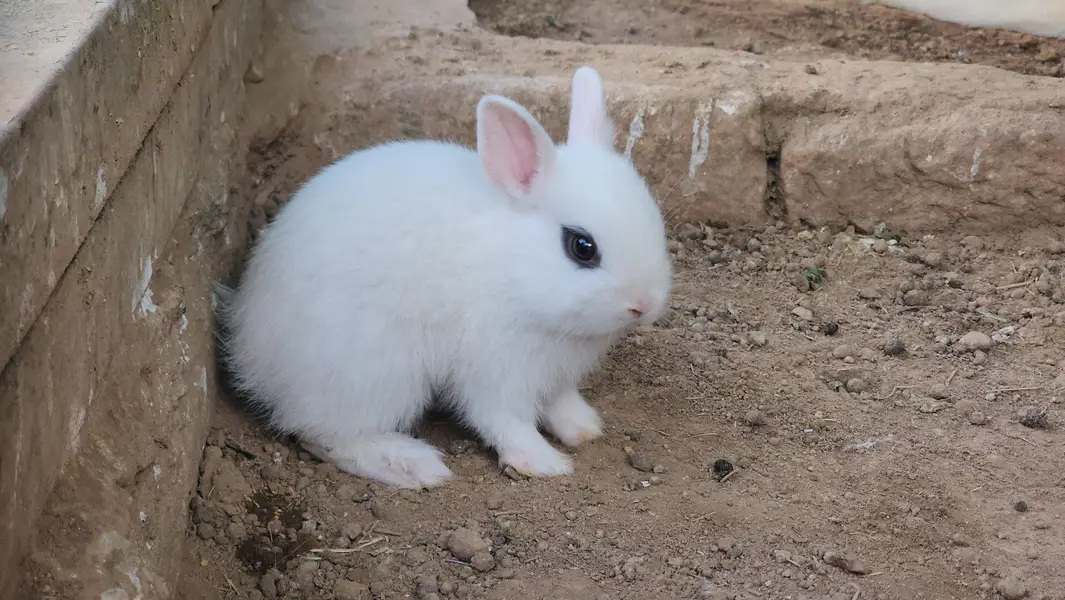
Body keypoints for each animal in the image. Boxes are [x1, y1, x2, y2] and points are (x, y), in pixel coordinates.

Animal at [215, 66, 672, 489]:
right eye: (581, 246)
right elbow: (504, 421)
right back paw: (412, 465)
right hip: (375, 374)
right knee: (323, 434)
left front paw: (584, 429)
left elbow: (560, 404)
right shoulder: (493, 372)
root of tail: (247, 352)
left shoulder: (554, 378)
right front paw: (545, 463)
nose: (644, 305)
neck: (512, 267)